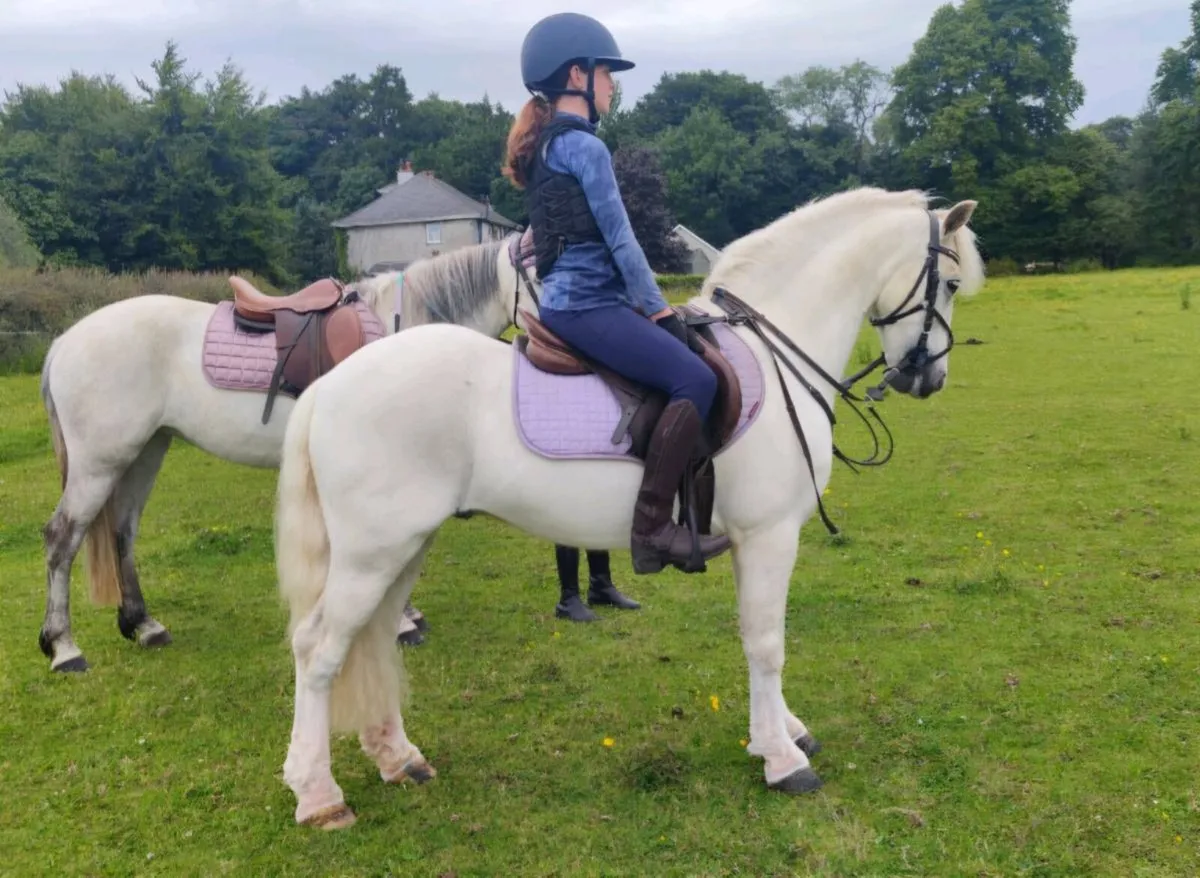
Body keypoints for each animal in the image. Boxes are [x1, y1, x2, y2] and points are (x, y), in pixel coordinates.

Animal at [36, 233, 540, 673]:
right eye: (539, 271)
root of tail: (64, 342)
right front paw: (400, 623)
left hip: (145, 451)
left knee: (122, 532)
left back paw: (144, 625)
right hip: (99, 463)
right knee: (62, 538)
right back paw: (64, 648)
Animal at [268, 187, 986, 828]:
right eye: (949, 282)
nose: (927, 377)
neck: (772, 349)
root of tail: (332, 383)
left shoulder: (755, 541)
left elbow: (758, 638)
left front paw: (781, 730)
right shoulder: (769, 535)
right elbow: (767, 643)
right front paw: (782, 759)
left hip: (404, 549)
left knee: (370, 640)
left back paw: (398, 759)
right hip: (371, 554)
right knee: (319, 650)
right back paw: (318, 795)